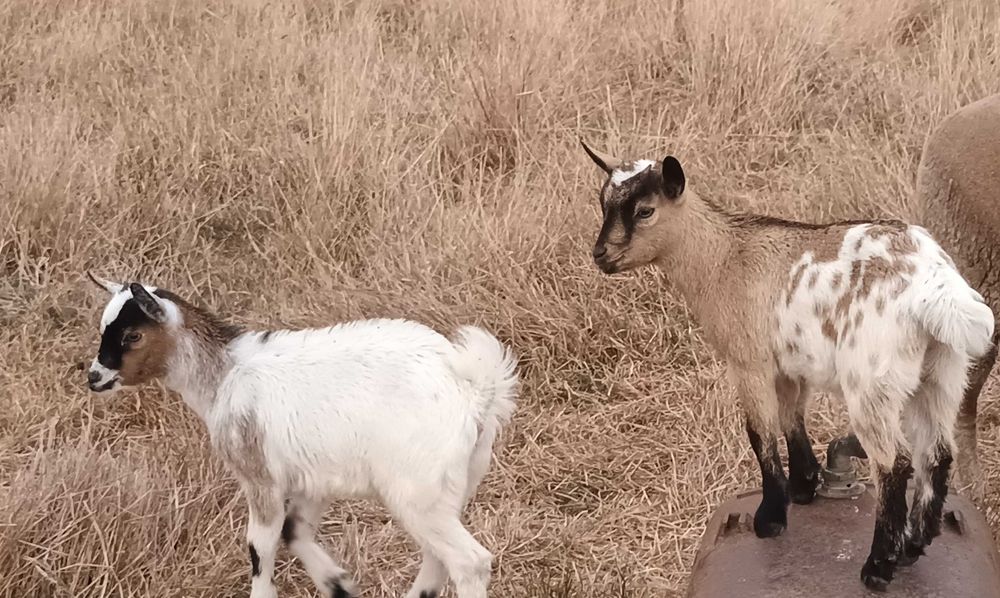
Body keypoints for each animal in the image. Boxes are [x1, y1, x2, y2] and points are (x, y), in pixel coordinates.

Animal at [85, 274, 519, 598]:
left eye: (132, 336)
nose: (94, 377)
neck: (224, 375)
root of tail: (474, 389)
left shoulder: (259, 476)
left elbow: (260, 546)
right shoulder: (315, 480)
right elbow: (294, 530)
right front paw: (339, 585)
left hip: (417, 488)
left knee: (468, 561)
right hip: (450, 487)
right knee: (438, 555)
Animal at [579, 141, 995, 592]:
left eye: (645, 211)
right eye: (603, 203)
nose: (600, 255)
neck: (723, 257)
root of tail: (936, 287)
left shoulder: (749, 361)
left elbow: (760, 433)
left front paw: (771, 518)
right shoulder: (791, 366)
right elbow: (792, 418)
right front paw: (804, 486)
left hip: (871, 381)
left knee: (894, 463)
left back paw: (879, 566)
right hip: (942, 374)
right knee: (937, 452)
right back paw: (915, 544)